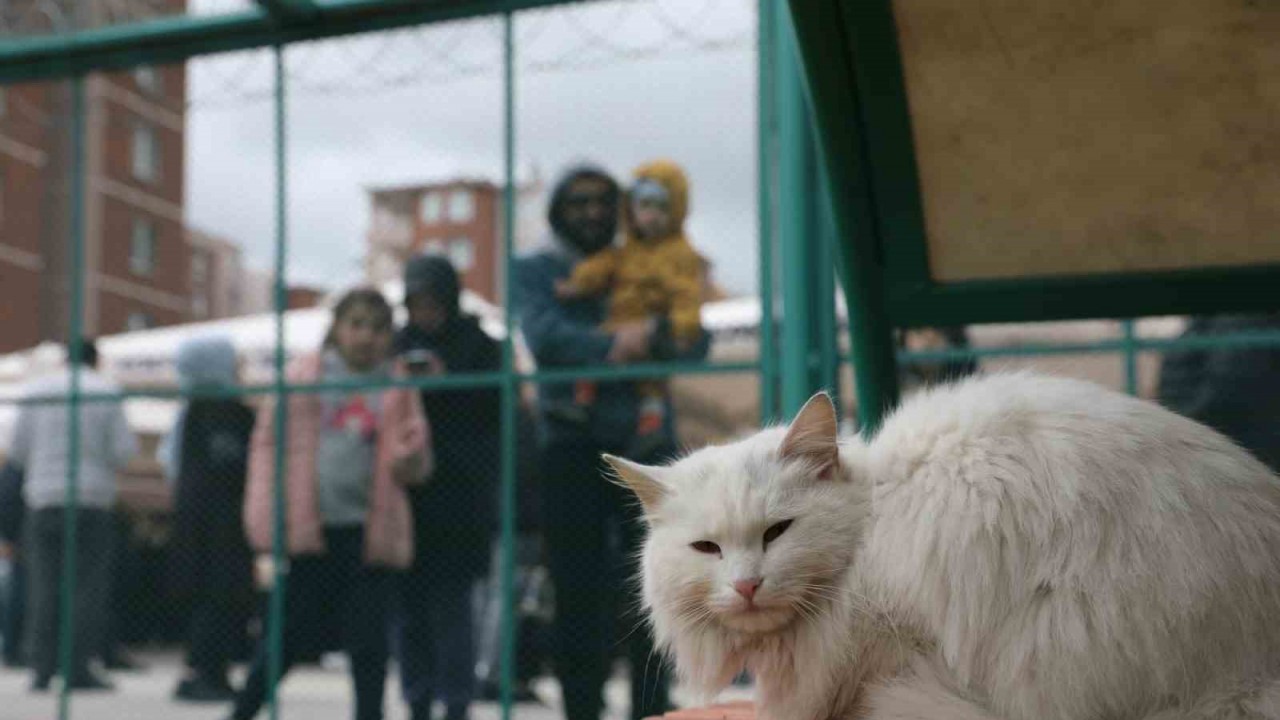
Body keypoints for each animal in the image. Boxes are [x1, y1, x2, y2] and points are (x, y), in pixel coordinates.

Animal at [606, 371, 1280, 712]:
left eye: (778, 532)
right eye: (707, 550)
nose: (748, 585)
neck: (875, 521)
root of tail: (1245, 681)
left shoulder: (901, 652)